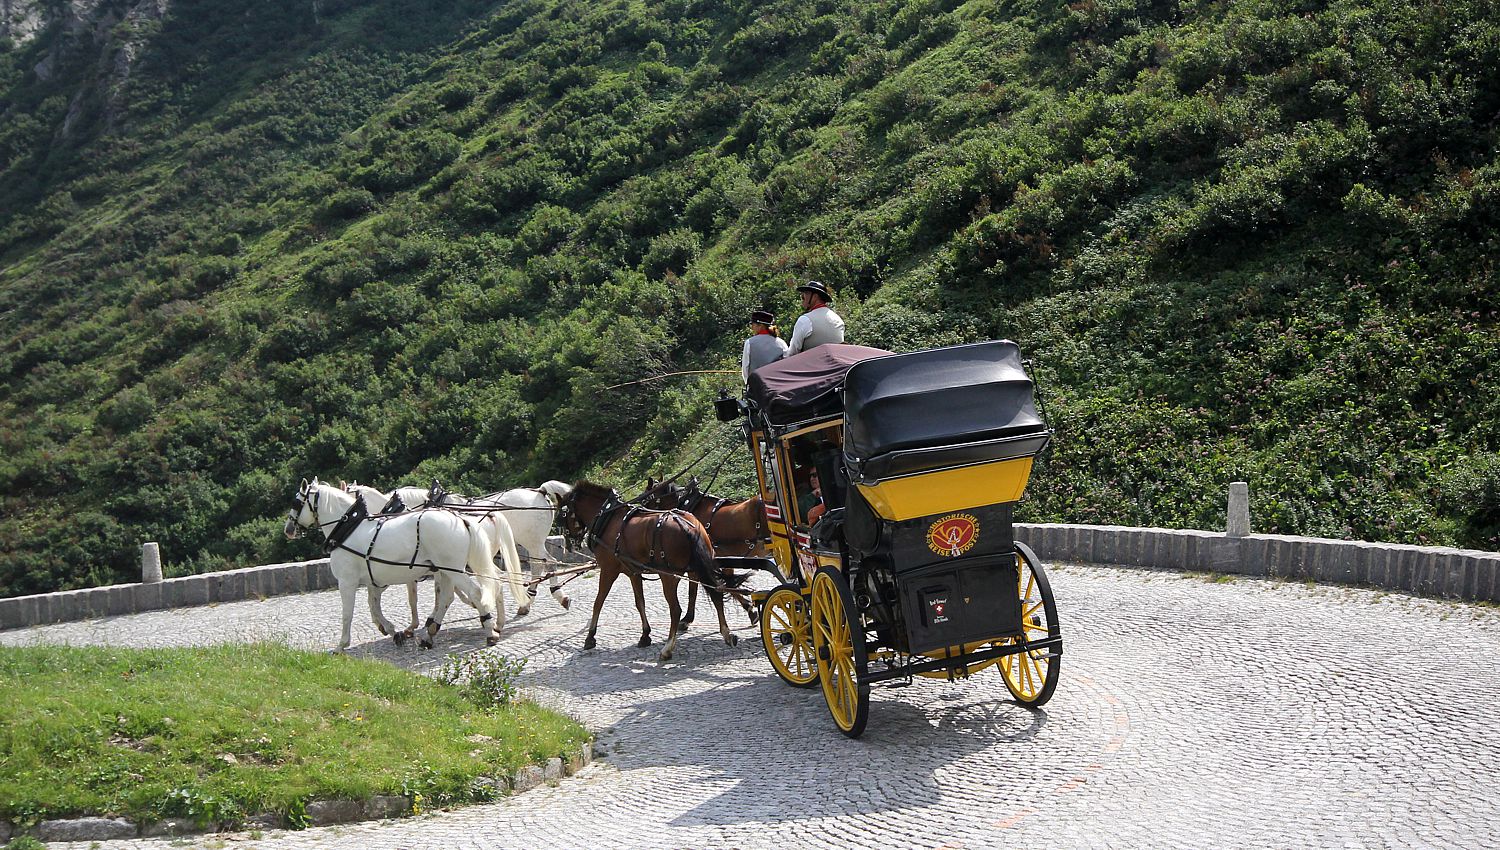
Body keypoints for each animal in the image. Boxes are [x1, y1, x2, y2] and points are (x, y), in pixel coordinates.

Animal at [285, 479, 510, 650]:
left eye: (296, 502)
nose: (288, 529)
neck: (348, 530)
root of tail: (460, 518)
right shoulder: (374, 580)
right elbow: (374, 606)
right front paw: (392, 630)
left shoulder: (347, 582)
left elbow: (348, 613)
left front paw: (342, 645)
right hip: (447, 570)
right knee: (452, 595)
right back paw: (432, 635)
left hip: (453, 569)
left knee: (476, 592)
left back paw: (490, 630)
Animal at [558, 482, 738, 662]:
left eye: (562, 516)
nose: (569, 545)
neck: (607, 518)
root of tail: (686, 525)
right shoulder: (633, 573)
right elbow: (640, 603)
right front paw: (645, 635)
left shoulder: (608, 570)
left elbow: (598, 602)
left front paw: (590, 637)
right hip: (700, 568)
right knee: (716, 594)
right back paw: (727, 634)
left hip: (668, 576)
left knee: (676, 610)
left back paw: (667, 649)